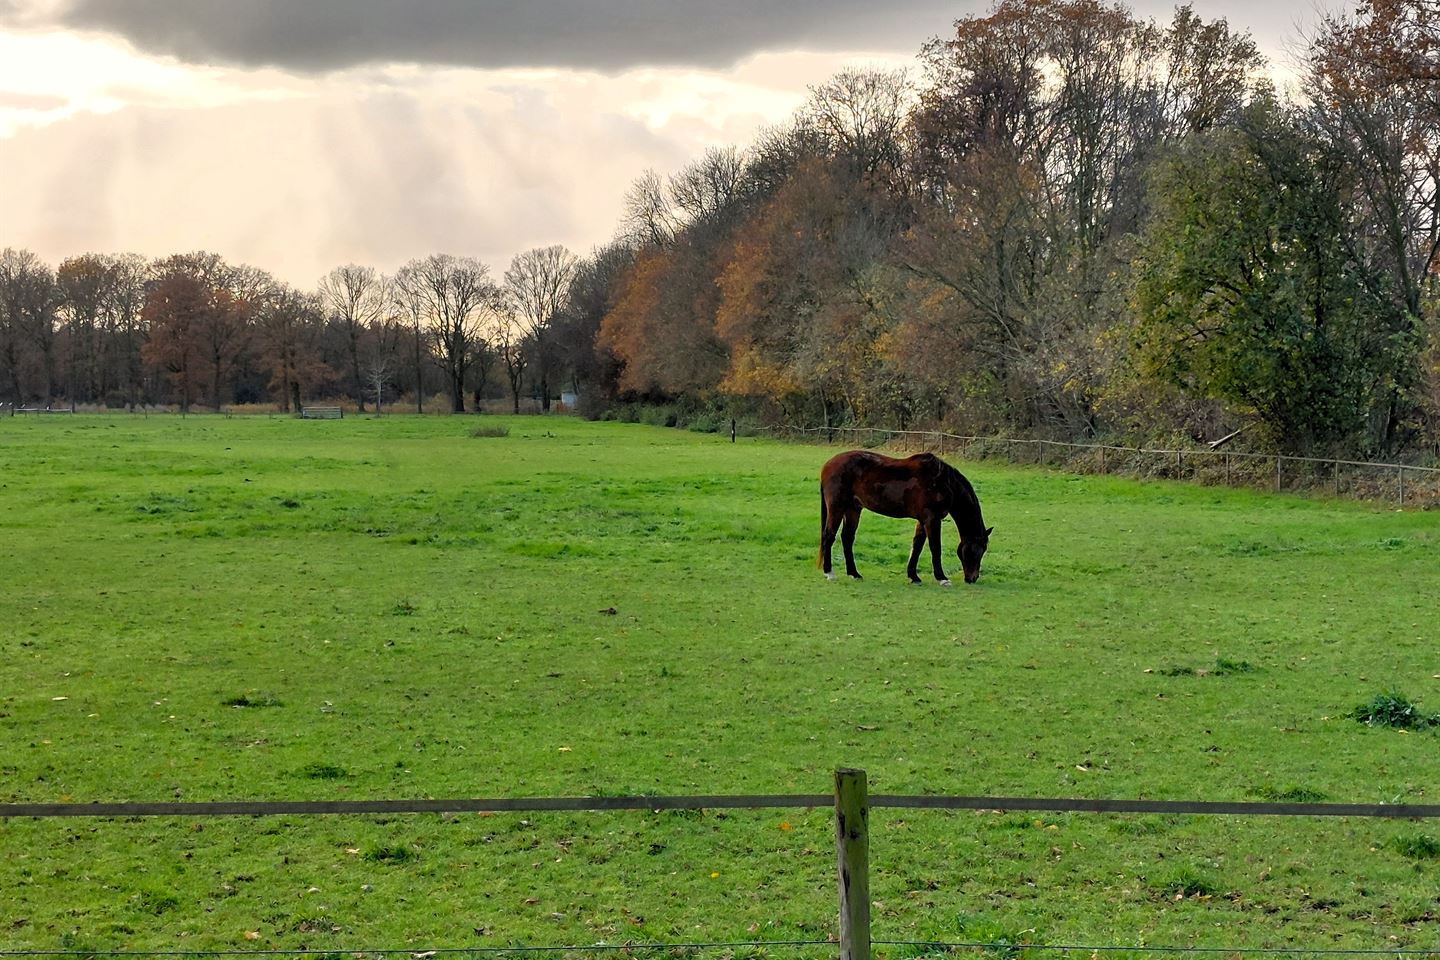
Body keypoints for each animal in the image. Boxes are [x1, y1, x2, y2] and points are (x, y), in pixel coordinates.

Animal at [823, 451, 990, 587]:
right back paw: (829, 573)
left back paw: (854, 574)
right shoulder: (932, 519)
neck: (943, 483)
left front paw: (913, 576)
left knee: (847, 538)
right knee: (829, 536)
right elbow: (935, 547)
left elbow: (917, 546)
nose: (973, 578)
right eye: (979, 551)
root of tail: (828, 465)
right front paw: (942, 578)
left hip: (853, 509)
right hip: (837, 507)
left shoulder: (923, 521)